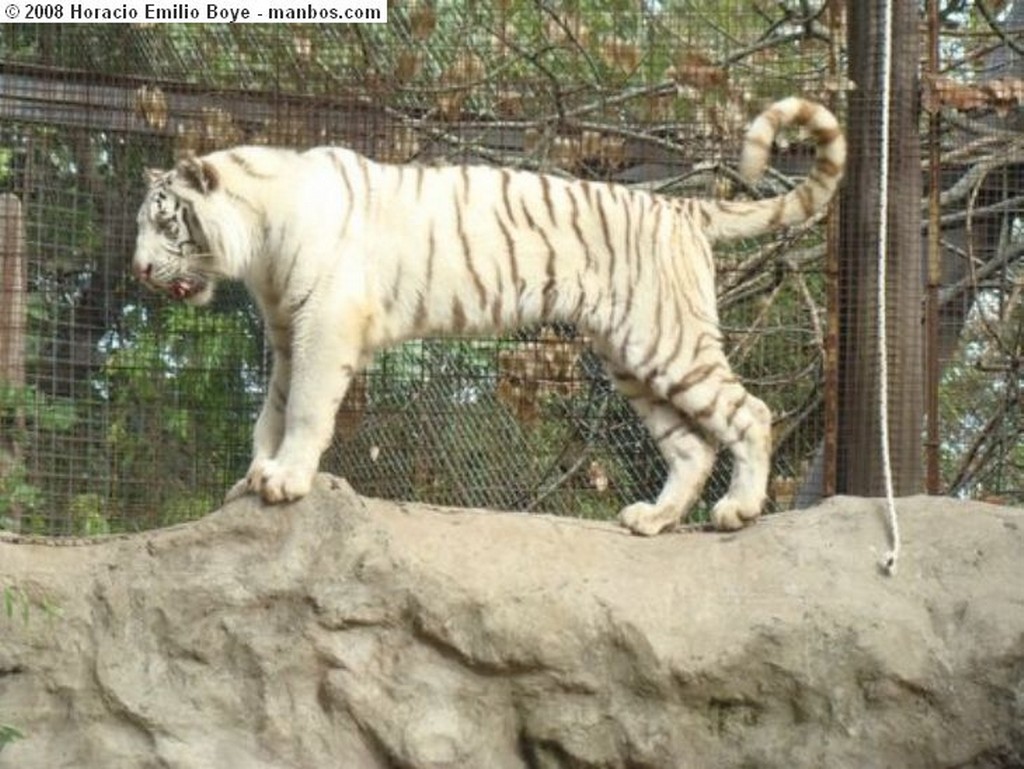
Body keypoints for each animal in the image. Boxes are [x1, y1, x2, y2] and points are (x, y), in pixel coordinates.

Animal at [132, 96, 843, 536]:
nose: (137, 269)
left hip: (665, 341)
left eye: (165, 223)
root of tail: (682, 206)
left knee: (750, 413)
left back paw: (738, 510)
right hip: (629, 355)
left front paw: (285, 480)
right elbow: (271, 410)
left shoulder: (324, 326)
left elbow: (305, 409)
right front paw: (252, 477)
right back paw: (653, 520)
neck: (258, 246)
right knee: (691, 446)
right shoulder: (287, 333)